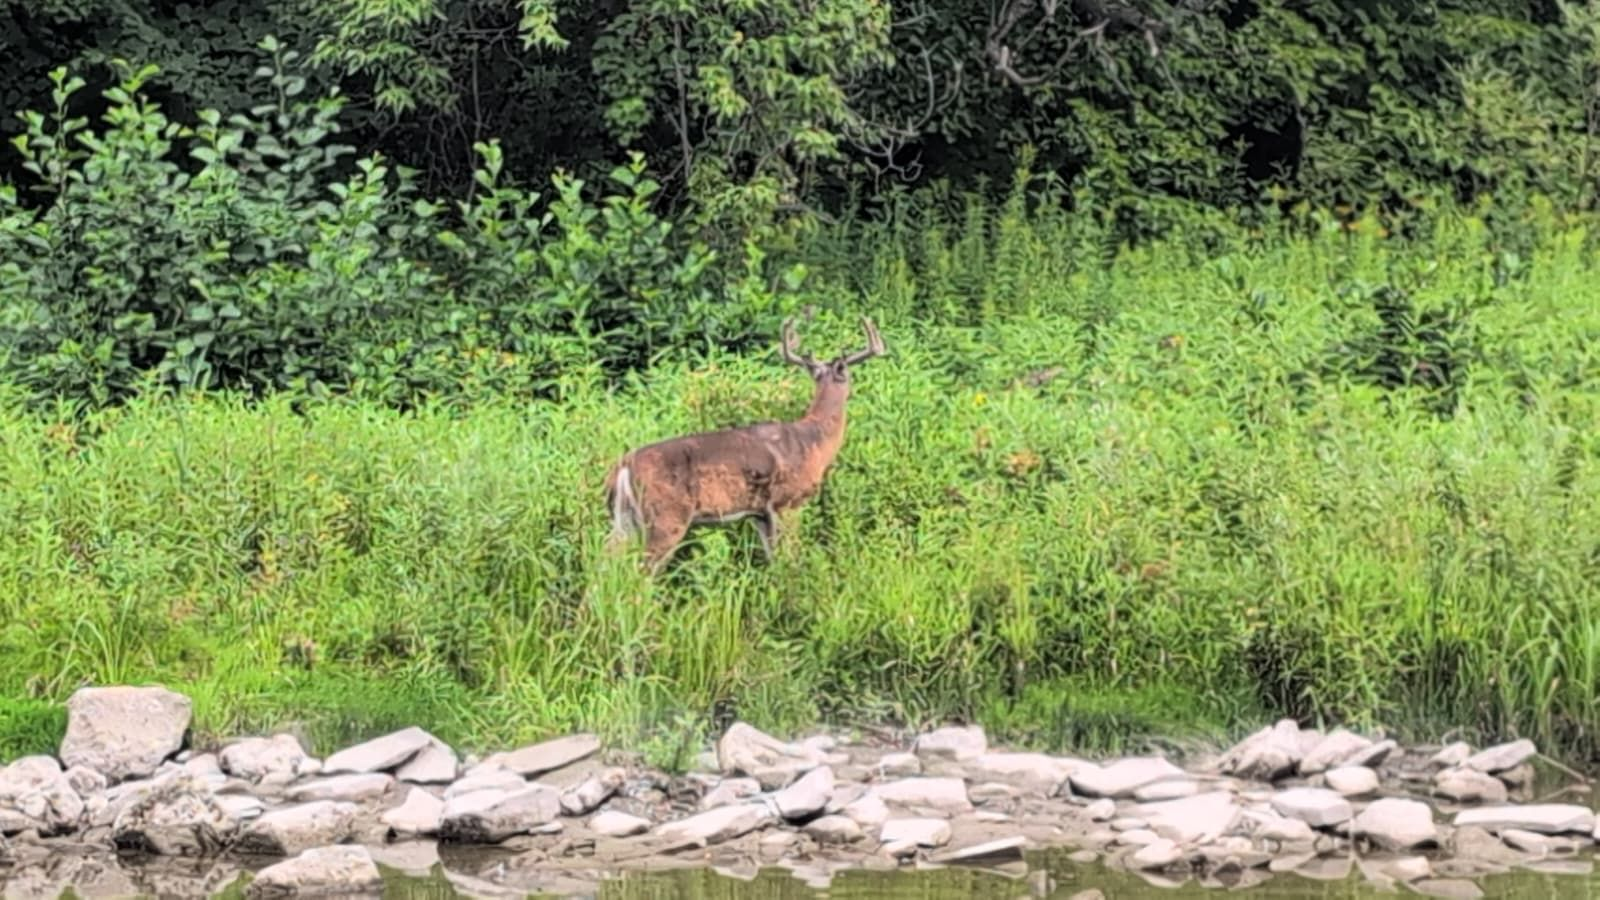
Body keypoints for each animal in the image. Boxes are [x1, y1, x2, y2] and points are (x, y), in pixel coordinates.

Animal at [603, 315, 887, 574]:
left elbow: (774, 560)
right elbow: (791, 557)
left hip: (624, 519)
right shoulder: (788, 502)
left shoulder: (760, 513)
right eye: (851, 376)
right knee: (642, 570)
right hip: (666, 517)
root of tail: (624, 465)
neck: (814, 441)